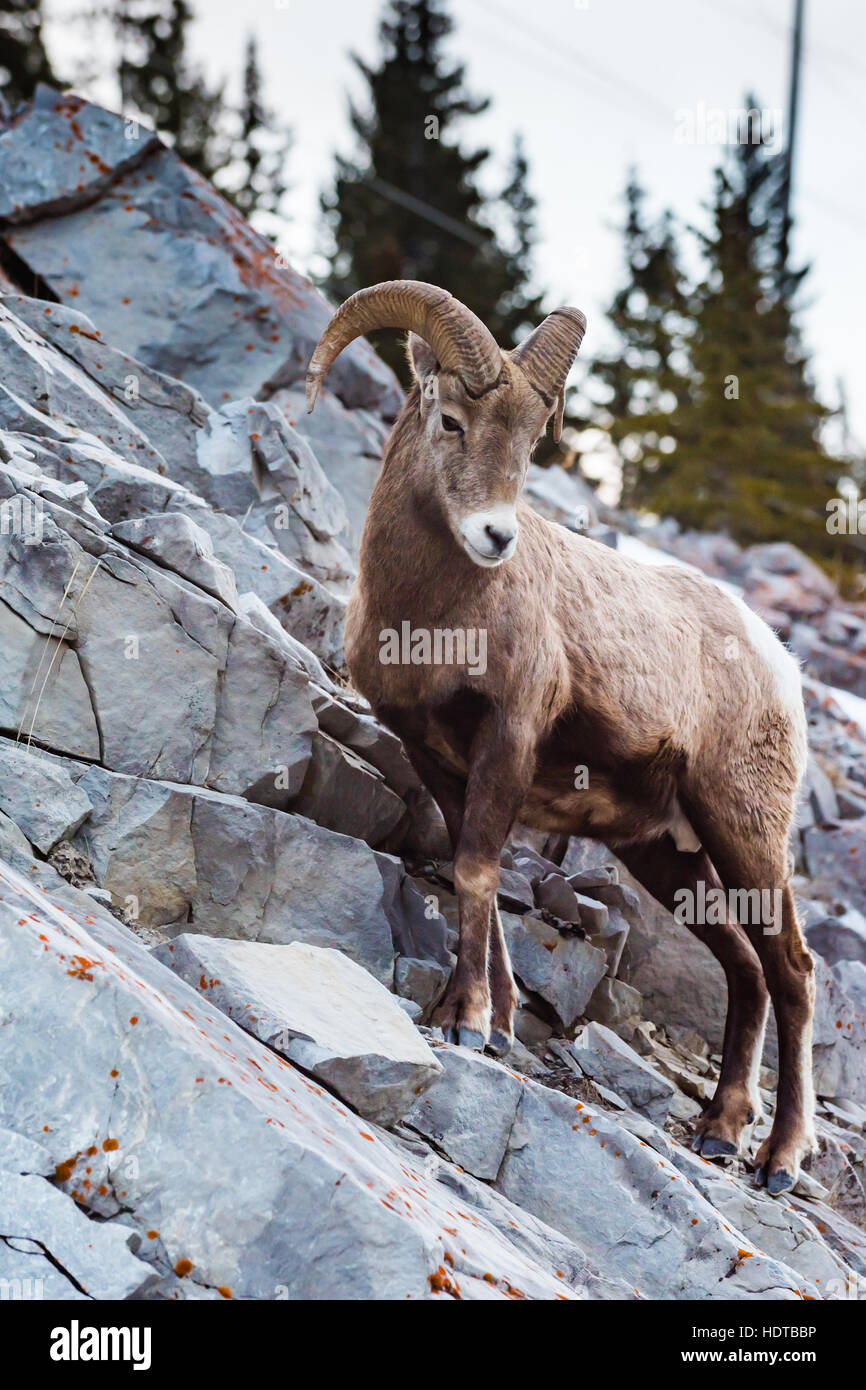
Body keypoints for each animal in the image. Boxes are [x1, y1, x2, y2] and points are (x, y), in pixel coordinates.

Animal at [306, 279, 815, 1195]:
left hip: (743, 830)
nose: (496, 538)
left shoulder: (507, 740)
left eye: (530, 439)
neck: (432, 618)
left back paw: (778, 1161)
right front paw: (494, 1023)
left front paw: (467, 1023)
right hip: (665, 854)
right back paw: (719, 1132)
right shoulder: (439, 761)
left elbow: (475, 873)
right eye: (451, 421)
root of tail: (778, 664)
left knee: (790, 970)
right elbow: (475, 876)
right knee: (744, 968)